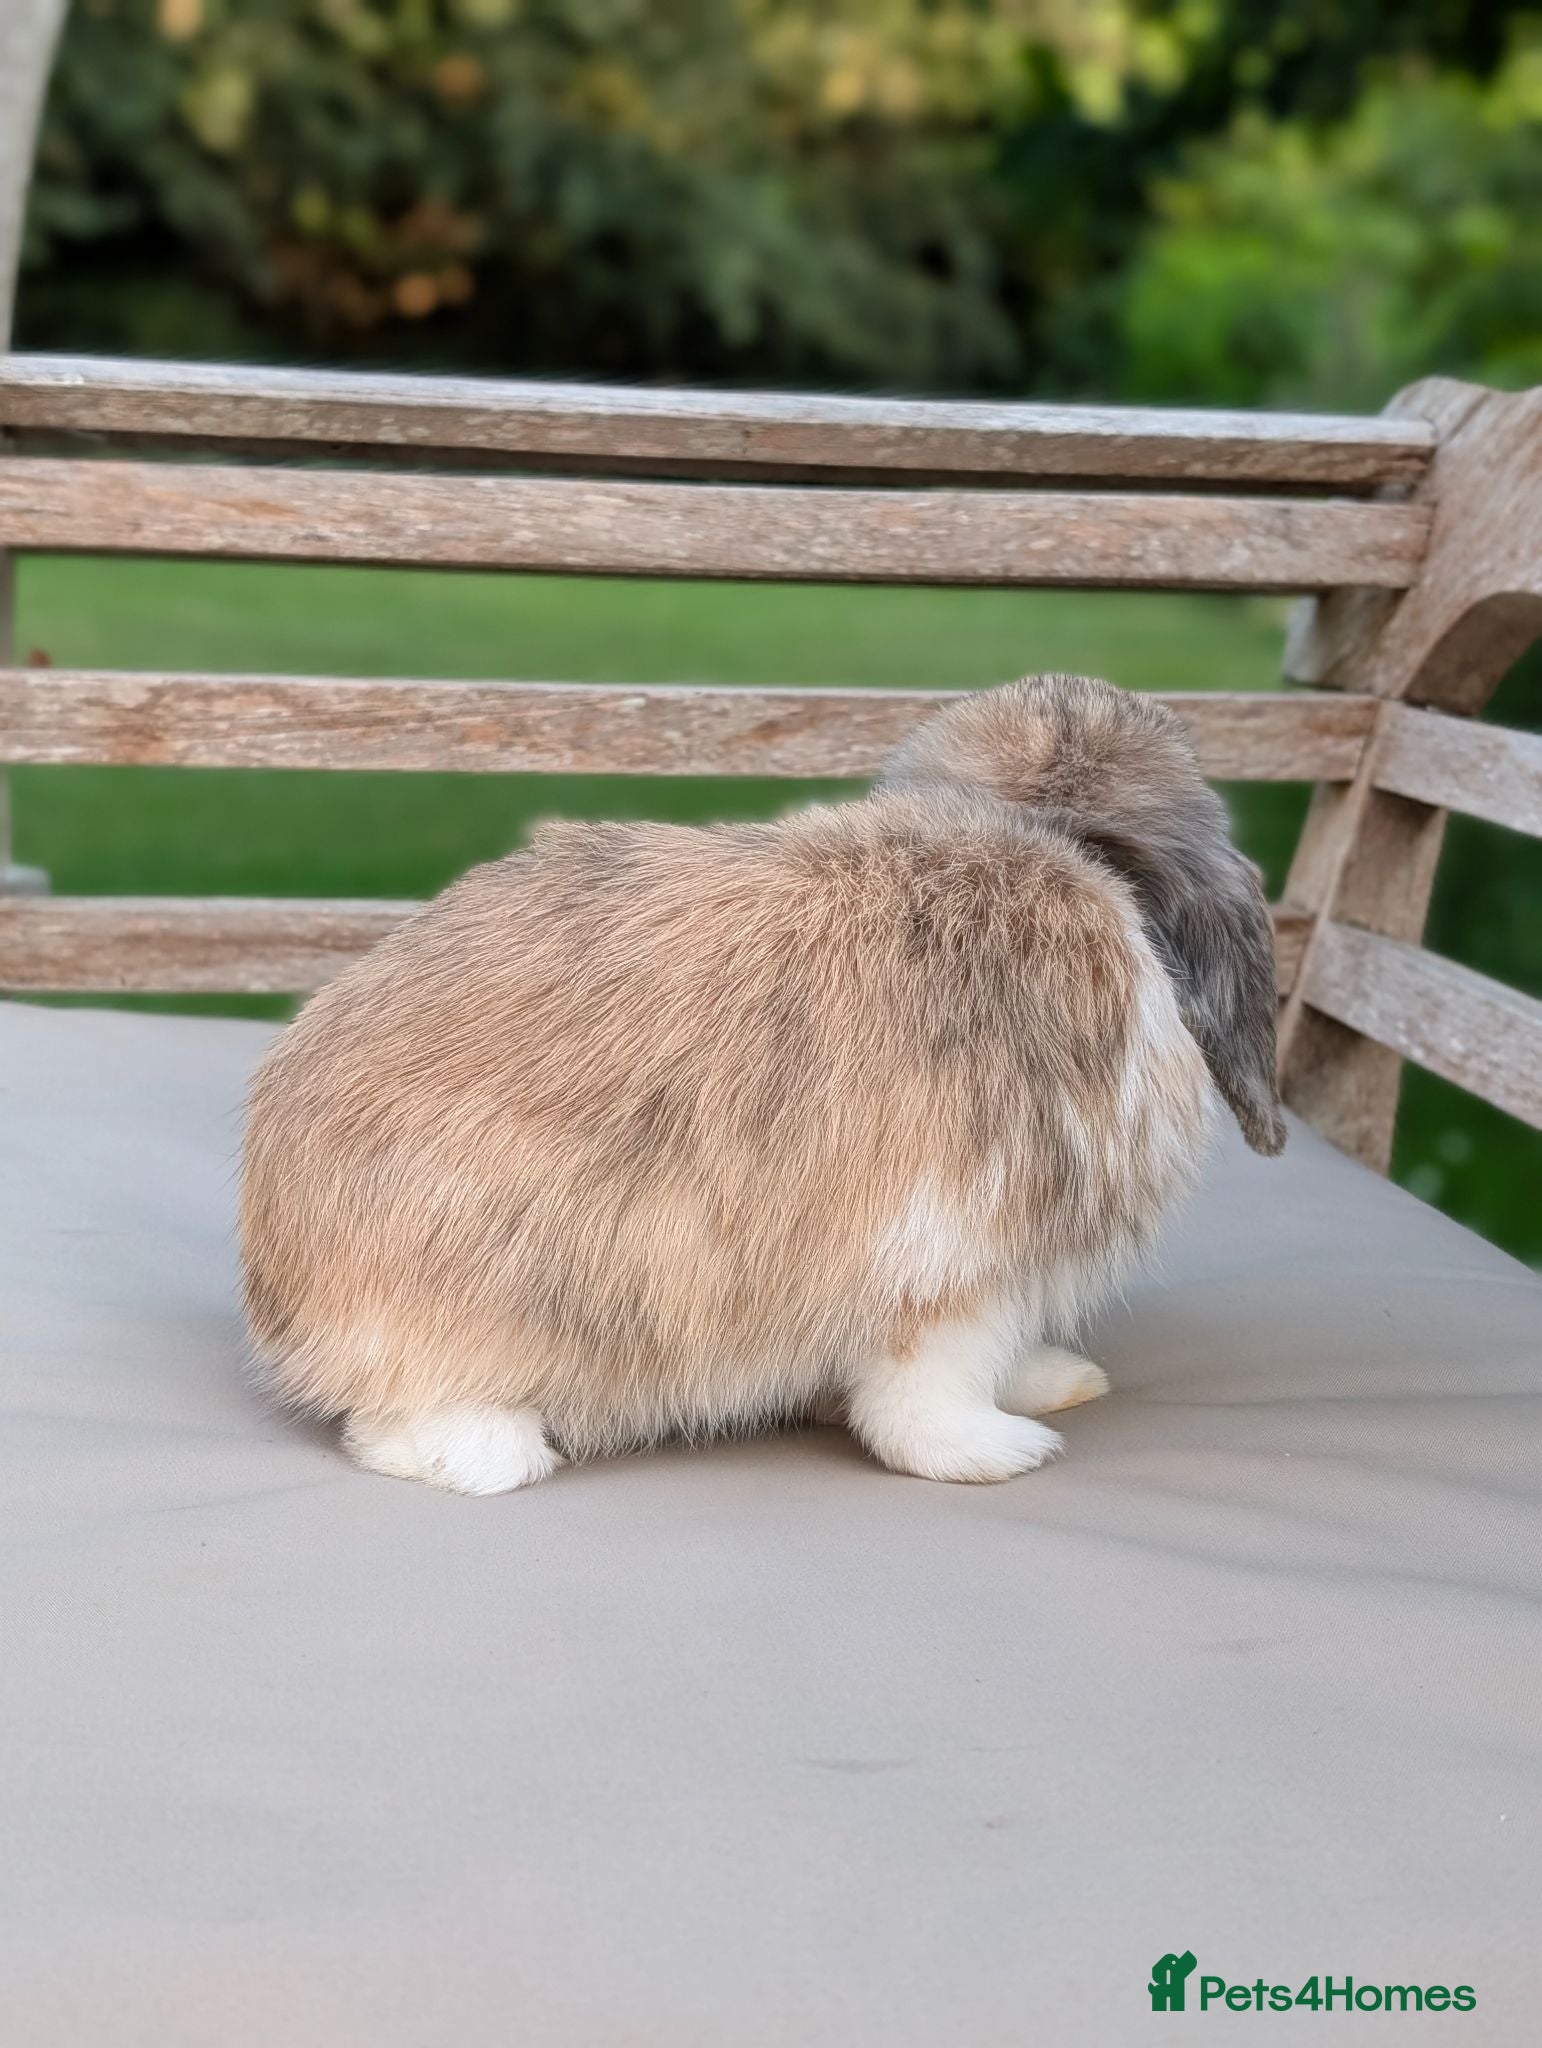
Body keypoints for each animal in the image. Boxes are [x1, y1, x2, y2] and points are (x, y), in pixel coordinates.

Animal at [240, 673, 1285, 1495]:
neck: (1034, 830)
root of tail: (279, 1290)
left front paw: (1051, 1381)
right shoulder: (957, 1249)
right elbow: (932, 1386)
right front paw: (995, 1451)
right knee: (402, 1428)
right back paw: (488, 1451)